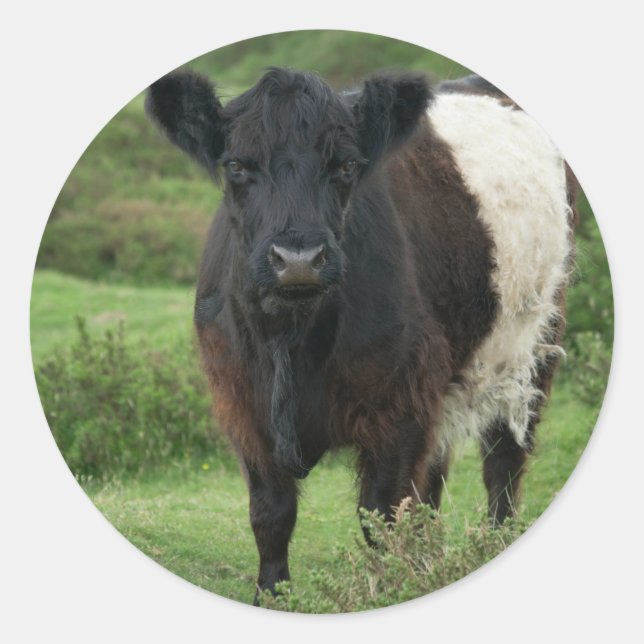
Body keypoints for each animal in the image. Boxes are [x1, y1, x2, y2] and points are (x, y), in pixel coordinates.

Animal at [145, 66, 576, 602]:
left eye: (347, 165)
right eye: (237, 166)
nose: (298, 259)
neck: (292, 341)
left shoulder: (400, 404)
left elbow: (382, 515)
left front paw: (389, 591)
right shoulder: (242, 403)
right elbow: (271, 513)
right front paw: (274, 596)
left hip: (532, 347)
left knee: (504, 462)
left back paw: (490, 546)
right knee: (434, 481)